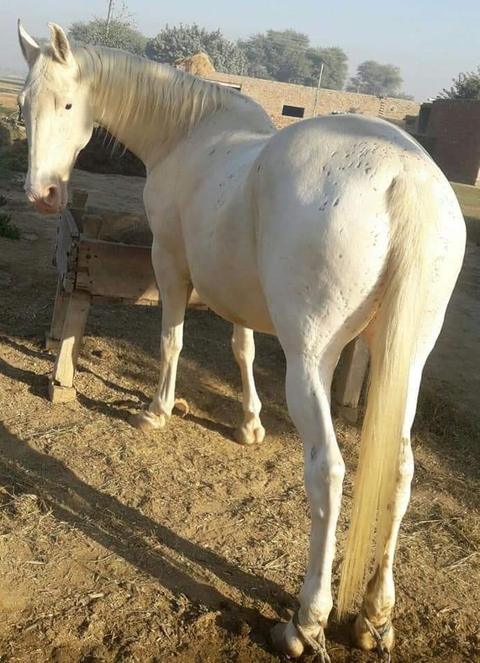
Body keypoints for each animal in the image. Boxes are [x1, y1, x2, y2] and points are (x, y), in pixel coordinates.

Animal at [17, 21, 465, 662]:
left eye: (69, 105)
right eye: (24, 105)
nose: (43, 195)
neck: (187, 133)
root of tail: (406, 180)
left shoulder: (171, 265)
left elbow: (172, 342)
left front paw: (156, 410)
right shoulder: (237, 290)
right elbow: (243, 349)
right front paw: (250, 424)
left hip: (311, 362)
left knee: (328, 472)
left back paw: (306, 621)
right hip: (404, 363)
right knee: (400, 471)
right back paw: (375, 616)